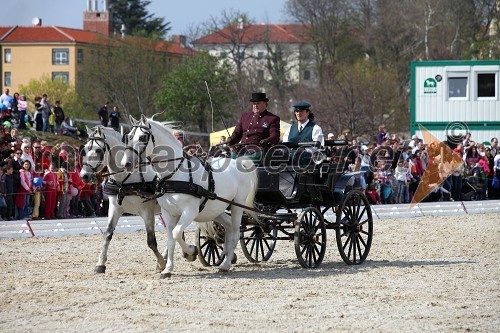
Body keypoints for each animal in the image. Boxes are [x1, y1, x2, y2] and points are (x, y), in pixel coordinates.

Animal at [80, 126, 168, 274]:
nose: (84, 176)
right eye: (85, 150)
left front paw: (161, 263)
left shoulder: (147, 212)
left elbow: (151, 241)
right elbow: (107, 234)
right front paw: (100, 264)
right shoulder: (115, 208)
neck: (127, 177)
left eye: (98, 150)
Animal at [120, 115, 258, 276]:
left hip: (237, 205)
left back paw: (226, 264)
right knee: (228, 226)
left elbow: (177, 233)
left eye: (142, 137)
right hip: (215, 209)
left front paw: (191, 253)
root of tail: (238, 163)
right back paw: (226, 256)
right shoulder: (168, 213)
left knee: (236, 232)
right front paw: (167, 269)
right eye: (128, 137)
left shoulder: (190, 212)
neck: (174, 174)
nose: (126, 164)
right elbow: (170, 240)